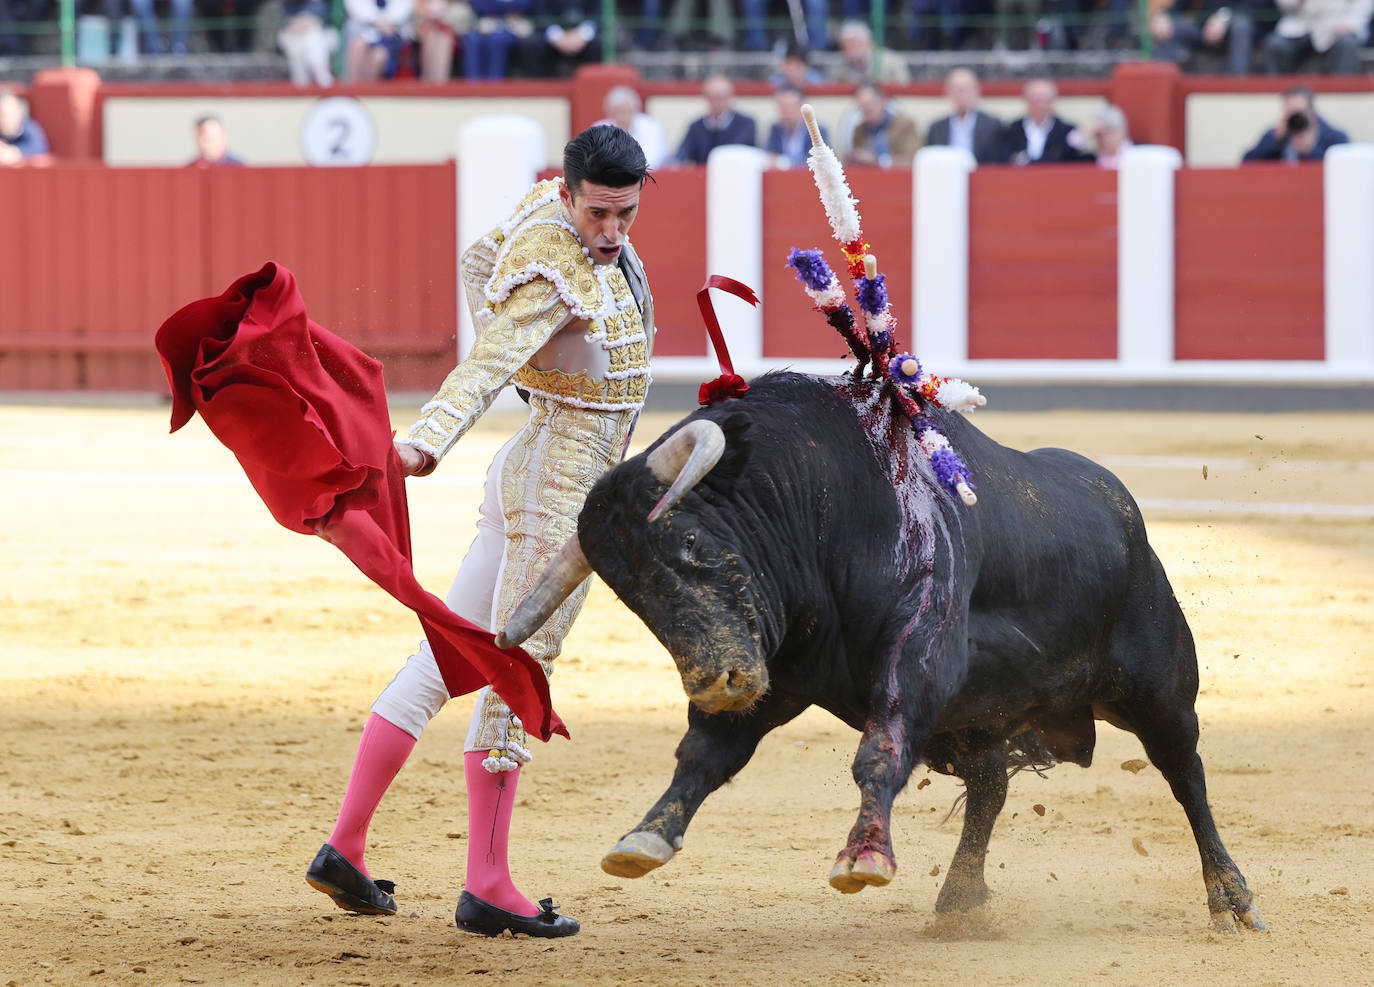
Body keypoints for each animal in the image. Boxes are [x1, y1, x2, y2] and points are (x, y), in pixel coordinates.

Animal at [497, 373, 1264, 934]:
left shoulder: (917, 653)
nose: (717, 681)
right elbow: (706, 754)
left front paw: (863, 855)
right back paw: (959, 901)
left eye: (689, 543)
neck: (822, 504)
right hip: (969, 723)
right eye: (626, 593)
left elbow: (879, 749)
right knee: (992, 784)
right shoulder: (775, 670)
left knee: (1186, 775)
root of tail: (1123, 509)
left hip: (1159, 692)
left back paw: (1232, 898)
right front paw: (644, 839)